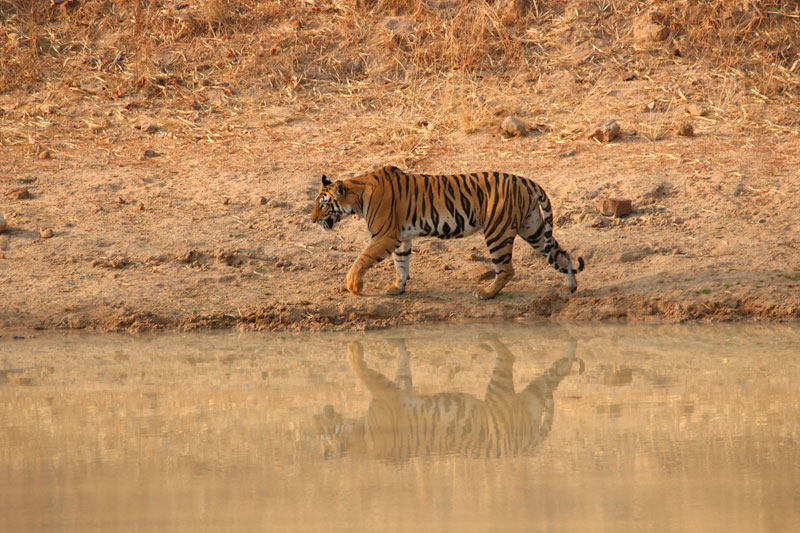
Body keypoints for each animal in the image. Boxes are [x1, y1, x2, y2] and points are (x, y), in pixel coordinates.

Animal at [310, 166, 584, 300]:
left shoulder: (385, 236)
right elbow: (402, 263)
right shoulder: (401, 237)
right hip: (533, 228)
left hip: (497, 232)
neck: (357, 196)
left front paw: (353, 285)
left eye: (322, 204)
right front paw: (398, 288)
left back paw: (486, 294)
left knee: (507, 270)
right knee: (562, 254)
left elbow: (362, 258)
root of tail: (527, 181)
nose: (312, 220)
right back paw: (569, 287)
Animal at [316, 336, 584, 458]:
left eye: (326, 433)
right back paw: (572, 351)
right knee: (551, 376)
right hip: (529, 399)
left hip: (499, 391)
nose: (322, 411)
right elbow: (403, 368)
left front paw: (353, 349)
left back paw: (487, 338)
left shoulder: (384, 393)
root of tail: (525, 447)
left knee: (509, 356)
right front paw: (398, 346)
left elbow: (361, 370)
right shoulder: (399, 390)